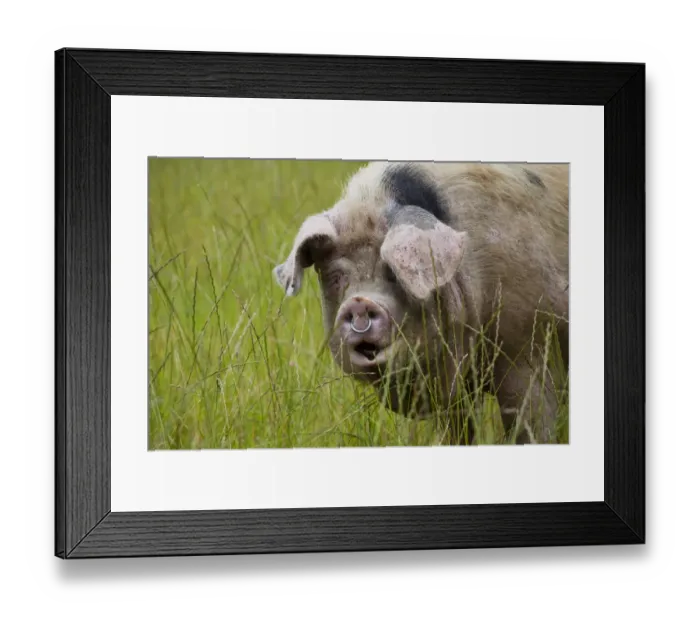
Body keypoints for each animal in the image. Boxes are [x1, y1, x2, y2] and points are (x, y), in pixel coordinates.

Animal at [273, 161, 569, 445]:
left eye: (393, 272)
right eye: (336, 277)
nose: (358, 302)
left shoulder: (528, 344)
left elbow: (530, 423)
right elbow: (457, 432)